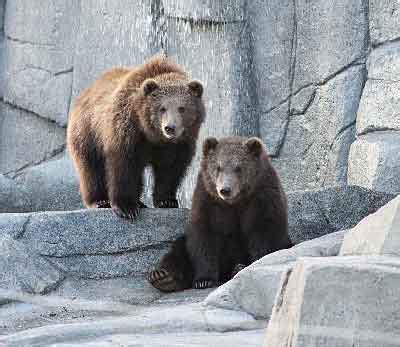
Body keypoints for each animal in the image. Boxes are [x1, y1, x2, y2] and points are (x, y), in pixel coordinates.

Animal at [67, 54, 205, 219]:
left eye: (182, 108)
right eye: (162, 108)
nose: (170, 128)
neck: (152, 135)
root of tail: (86, 92)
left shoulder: (179, 144)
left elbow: (170, 169)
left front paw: (167, 201)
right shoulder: (127, 129)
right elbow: (124, 165)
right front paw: (127, 208)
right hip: (88, 132)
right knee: (91, 168)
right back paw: (99, 201)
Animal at [148, 137, 292, 292]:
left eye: (238, 167)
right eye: (218, 167)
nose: (225, 190)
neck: (235, 203)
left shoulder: (262, 198)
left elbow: (264, 232)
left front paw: (256, 264)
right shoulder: (208, 201)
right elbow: (204, 237)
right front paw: (204, 280)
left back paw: (238, 268)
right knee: (178, 249)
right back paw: (162, 276)